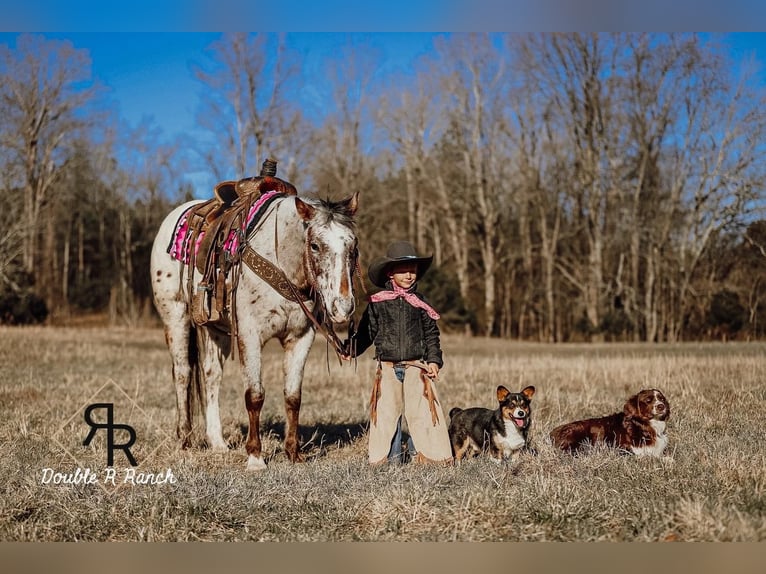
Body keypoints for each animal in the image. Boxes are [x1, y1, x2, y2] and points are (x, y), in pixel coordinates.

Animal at [153, 189, 364, 472]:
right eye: (315, 245)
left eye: (353, 246)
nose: (343, 306)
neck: (282, 262)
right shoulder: (250, 335)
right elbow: (254, 395)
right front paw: (255, 457)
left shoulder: (301, 338)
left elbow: (293, 396)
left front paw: (293, 453)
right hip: (176, 318)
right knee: (183, 374)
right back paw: (185, 440)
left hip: (214, 329)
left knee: (211, 376)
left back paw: (217, 442)